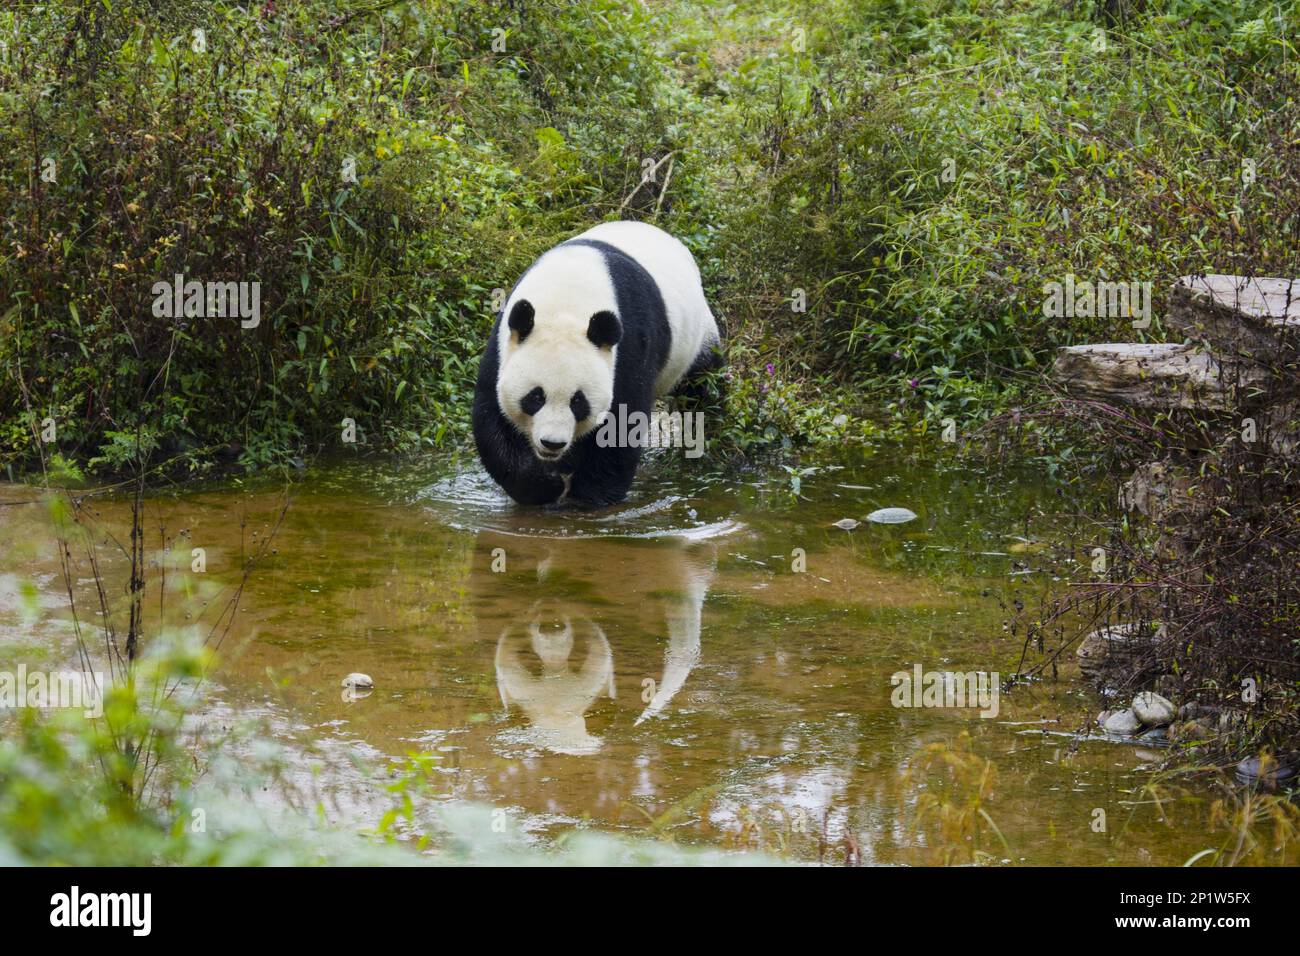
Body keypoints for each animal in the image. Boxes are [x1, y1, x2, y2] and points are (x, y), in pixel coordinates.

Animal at [475, 222, 722, 509]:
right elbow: (492, 419)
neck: (566, 299)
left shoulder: (628, 348)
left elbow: (621, 424)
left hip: (696, 339)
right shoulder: (504, 346)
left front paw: (586, 498)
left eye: (578, 401)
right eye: (535, 397)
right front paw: (544, 486)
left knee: (703, 386)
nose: (552, 443)